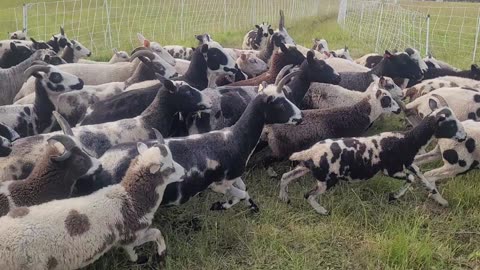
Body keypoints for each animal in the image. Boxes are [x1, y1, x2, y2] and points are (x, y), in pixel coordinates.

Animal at [0, 130, 186, 268]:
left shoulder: (125, 240)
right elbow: (157, 233)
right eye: (169, 168)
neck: (130, 199)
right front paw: (161, 255)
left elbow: (132, 251)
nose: (184, 173)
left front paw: (136, 259)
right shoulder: (133, 234)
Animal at [280, 106, 466, 214]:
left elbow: (423, 177)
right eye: (451, 124)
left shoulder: (408, 163)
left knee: (285, 177)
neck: (407, 141)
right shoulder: (391, 170)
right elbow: (411, 178)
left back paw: (284, 197)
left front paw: (440, 199)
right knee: (308, 195)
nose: (464, 137)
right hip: (327, 180)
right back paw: (322, 211)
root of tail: (311, 152)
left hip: (306, 168)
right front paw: (394, 196)